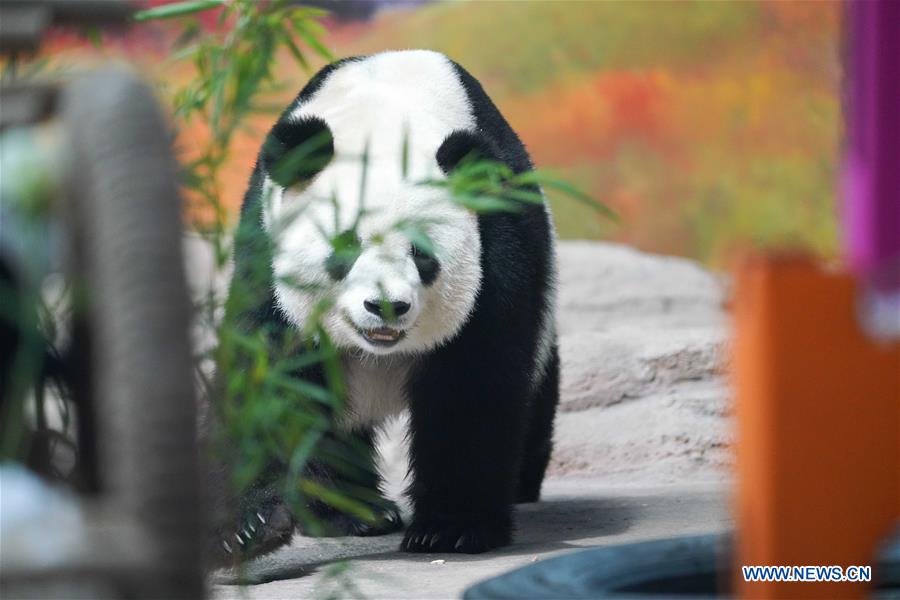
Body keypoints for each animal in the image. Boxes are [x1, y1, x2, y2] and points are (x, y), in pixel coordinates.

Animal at [213, 50, 558, 561]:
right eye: (344, 246)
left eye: (422, 255)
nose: (386, 306)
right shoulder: (265, 247)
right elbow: (271, 377)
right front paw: (250, 525)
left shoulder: (497, 248)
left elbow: (473, 386)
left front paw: (451, 528)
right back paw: (355, 512)